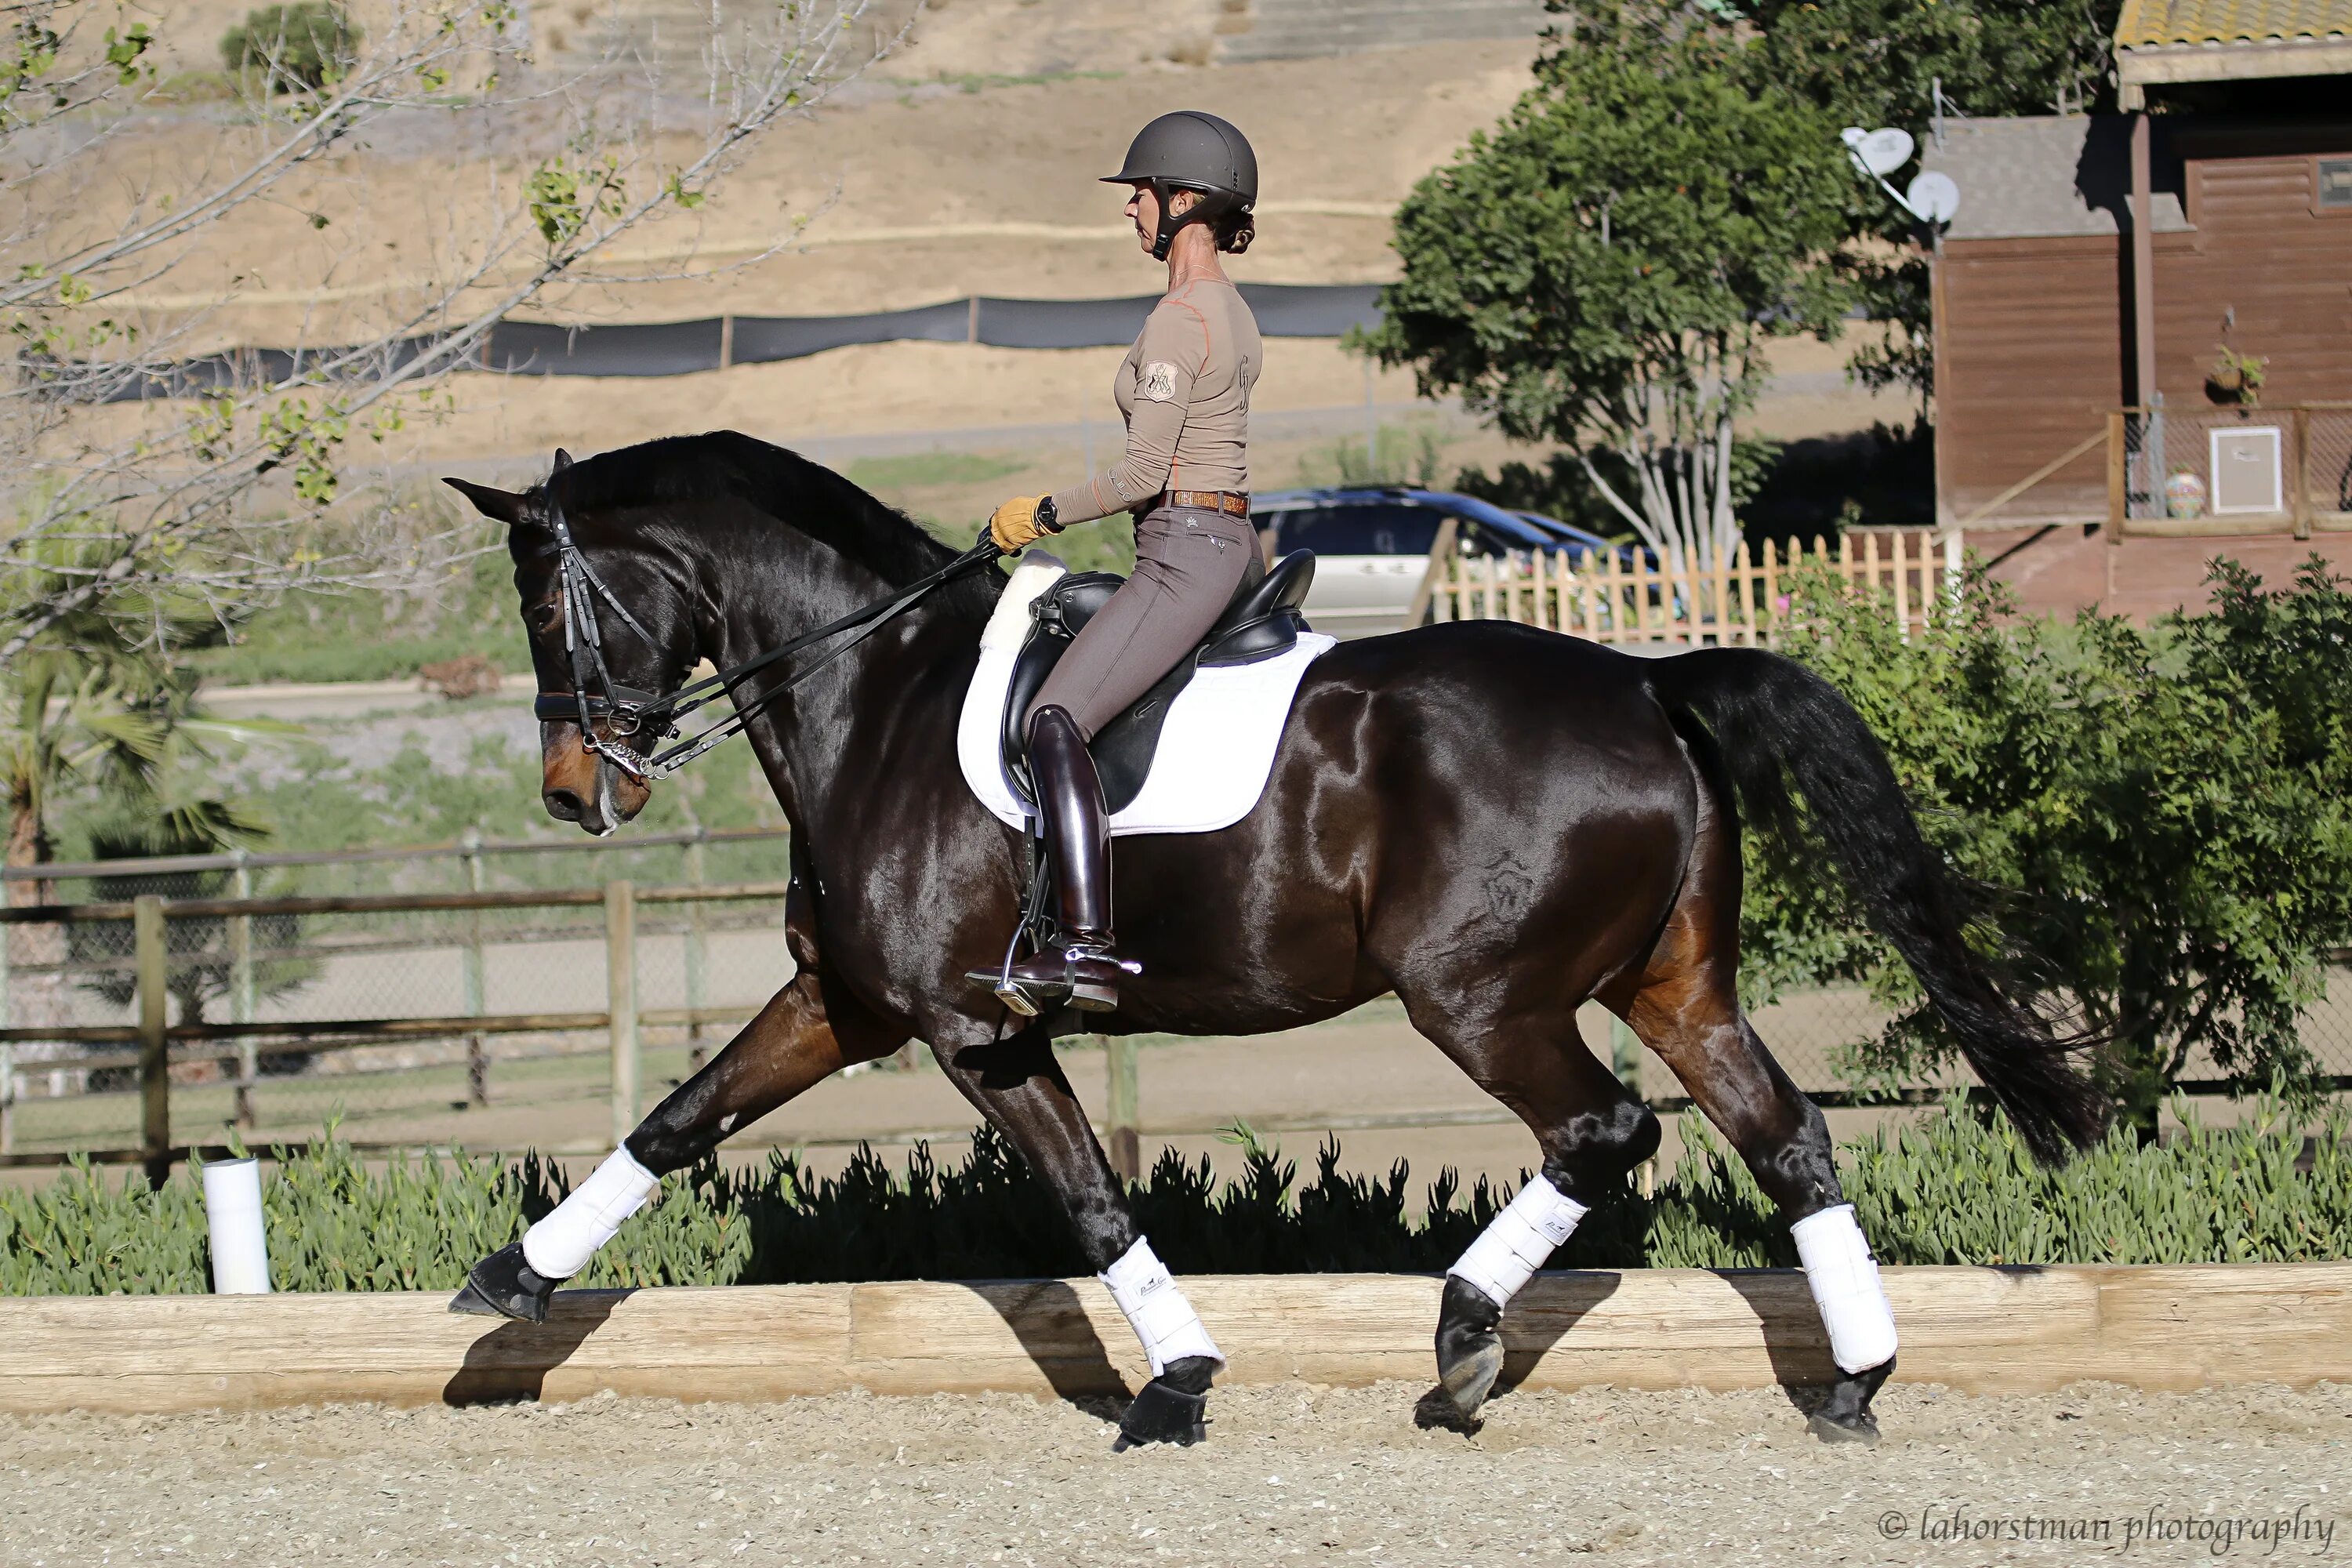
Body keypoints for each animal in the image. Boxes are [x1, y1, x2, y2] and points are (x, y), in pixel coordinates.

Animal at [445, 425, 2117, 1448]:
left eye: (549, 605)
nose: (571, 792)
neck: (881, 691)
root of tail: (1647, 682)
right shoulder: (849, 1004)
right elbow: (674, 1123)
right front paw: (508, 1285)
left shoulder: (978, 1031)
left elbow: (1092, 1201)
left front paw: (1176, 1386)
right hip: (1675, 982)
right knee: (1787, 1138)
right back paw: (1854, 1378)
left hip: (1482, 997)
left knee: (1605, 1133)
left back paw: (1463, 1342)